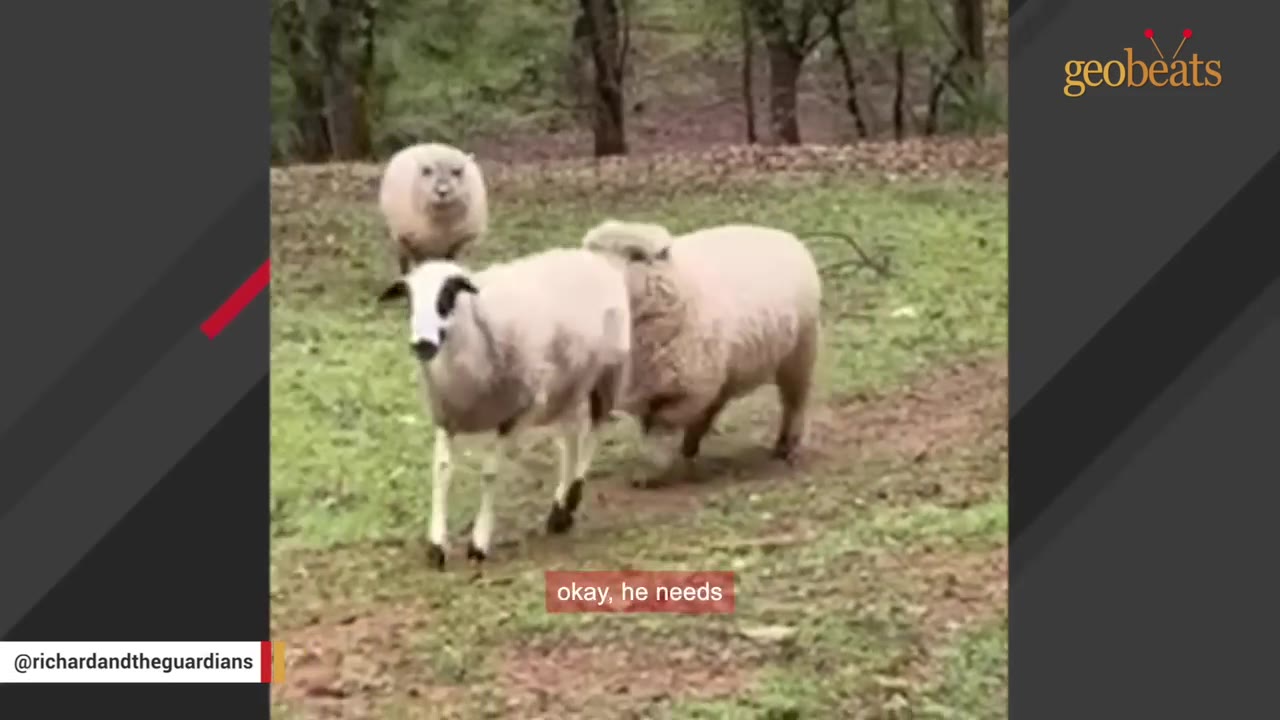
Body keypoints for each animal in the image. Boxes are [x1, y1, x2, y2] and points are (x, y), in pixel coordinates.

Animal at [376, 247, 631, 569]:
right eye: (409, 299)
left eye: (447, 295)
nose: (423, 343)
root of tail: (588, 254)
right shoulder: (446, 416)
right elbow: (442, 470)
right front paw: (436, 545)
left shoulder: (513, 415)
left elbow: (489, 474)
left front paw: (478, 543)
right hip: (566, 382)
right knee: (570, 436)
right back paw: (559, 509)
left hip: (608, 371)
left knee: (595, 430)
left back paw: (572, 497)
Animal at [377, 142, 489, 277]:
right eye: (426, 171)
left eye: (457, 172)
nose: (442, 192)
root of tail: (430, 144)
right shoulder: (414, 242)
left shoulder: (460, 242)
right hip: (400, 240)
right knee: (403, 262)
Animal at [581, 219, 822, 488]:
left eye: (636, 256)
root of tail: (781, 234)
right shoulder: (648, 388)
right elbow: (649, 423)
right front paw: (649, 468)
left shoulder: (686, 391)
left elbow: (661, 426)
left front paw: (651, 470)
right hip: (730, 368)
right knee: (717, 405)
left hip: (800, 351)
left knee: (794, 402)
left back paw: (787, 446)